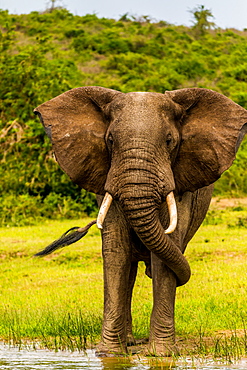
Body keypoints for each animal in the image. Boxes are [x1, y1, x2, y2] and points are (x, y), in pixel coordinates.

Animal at [34, 86, 247, 356]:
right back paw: (129, 342)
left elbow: (165, 252)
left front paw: (161, 354)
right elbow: (116, 252)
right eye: (110, 140)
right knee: (130, 269)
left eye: (169, 141)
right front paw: (109, 354)